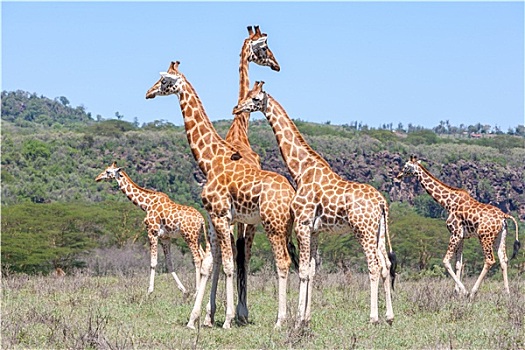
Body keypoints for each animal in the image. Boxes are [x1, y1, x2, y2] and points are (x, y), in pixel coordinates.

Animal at [95, 161, 210, 296]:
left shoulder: (152, 232)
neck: (146, 204)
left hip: (189, 236)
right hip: (197, 237)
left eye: (108, 171)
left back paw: (197, 292)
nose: (97, 178)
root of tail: (202, 220)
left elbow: (153, 262)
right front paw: (183, 289)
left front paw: (149, 291)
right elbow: (169, 263)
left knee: (197, 258)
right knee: (203, 256)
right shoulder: (165, 237)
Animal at [145, 60, 296, 330]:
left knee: (282, 262)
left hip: (272, 225)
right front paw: (195, 319)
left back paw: (280, 320)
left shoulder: (222, 216)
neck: (210, 159)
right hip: (284, 226)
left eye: (163, 80)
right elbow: (208, 263)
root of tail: (290, 195)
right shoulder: (214, 218)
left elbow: (227, 264)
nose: (148, 93)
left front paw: (226, 319)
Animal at [231, 80, 396, 326]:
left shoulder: (302, 224)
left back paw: (373, 318)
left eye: (255, 99)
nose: (236, 108)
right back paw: (390, 316)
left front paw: (298, 319)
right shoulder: (314, 230)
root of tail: (382, 203)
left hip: (363, 229)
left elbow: (302, 271)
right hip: (378, 232)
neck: (301, 170)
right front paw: (306, 317)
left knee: (374, 266)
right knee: (386, 265)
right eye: (248, 94)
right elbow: (312, 270)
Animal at [396, 156, 516, 296]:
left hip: (485, 236)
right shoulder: (462, 236)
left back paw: (473, 292)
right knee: (503, 259)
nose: (398, 176)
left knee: (490, 260)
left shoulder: (455, 233)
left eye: (405, 166)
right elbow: (458, 263)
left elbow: (446, 261)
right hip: (500, 236)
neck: (447, 203)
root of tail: (503, 216)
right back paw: (507, 292)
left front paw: (463, 290)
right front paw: (456, 291)